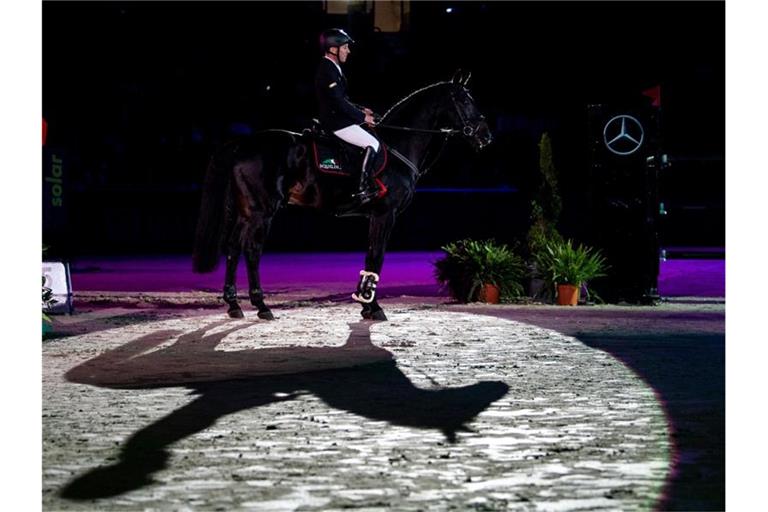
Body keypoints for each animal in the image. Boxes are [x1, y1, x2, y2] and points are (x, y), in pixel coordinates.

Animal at [192, 72, 492, 320]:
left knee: (233, 248)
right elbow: (376, 256)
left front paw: (365, 304)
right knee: (251, 251)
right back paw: (262, 306)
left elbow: (370, 255)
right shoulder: (385, 214)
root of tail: (242, 143)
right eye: (464, 101)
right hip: (261, 211)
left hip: (246, 210)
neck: (398, 145)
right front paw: (372, 306)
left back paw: (234, 305)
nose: (486, 135)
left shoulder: (376, 216)